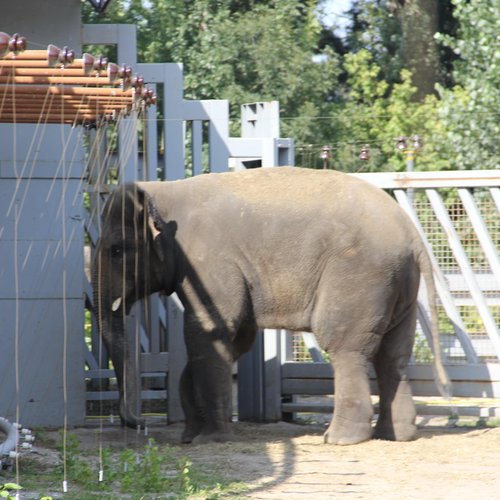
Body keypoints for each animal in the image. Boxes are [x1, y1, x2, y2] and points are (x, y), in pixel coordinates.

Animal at [92, 167, 452, 446]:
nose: (142, 424)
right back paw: (396, 436)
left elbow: (208, 330)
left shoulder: (208, 261)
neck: (161, 191)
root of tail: (413, 236)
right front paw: (190, 437)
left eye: (116, 250)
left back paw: (339, 439)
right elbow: (234, 339)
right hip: (399, 284)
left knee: (346, 348)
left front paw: (210, 439)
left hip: (361, 274)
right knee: (393, 355)